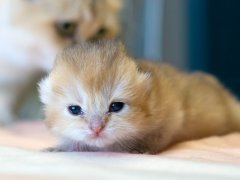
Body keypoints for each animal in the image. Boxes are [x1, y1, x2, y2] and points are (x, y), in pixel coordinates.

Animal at [38, 41, 240, 155]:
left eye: (116, 106)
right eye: (74, 109)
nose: (96, 128)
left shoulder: (171, 116)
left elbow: (155, 138)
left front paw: (140, 149)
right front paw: (60, 148)